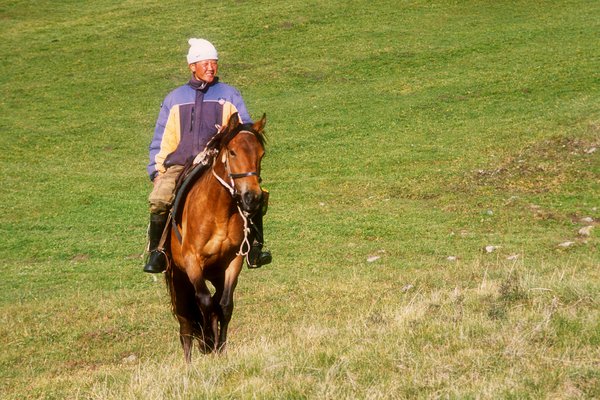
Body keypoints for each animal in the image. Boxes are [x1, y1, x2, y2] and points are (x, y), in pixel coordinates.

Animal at [165, 112, 266, 362]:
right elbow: (205, 302)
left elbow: (225, 305)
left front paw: (219, 349)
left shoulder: (233, 260)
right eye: (233, 152)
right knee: (185, 323)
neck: (218, 212)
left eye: (261, 154)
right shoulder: (192, 262)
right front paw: (209, 343)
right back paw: (189, 363)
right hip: (178, 278)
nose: (252, 197)